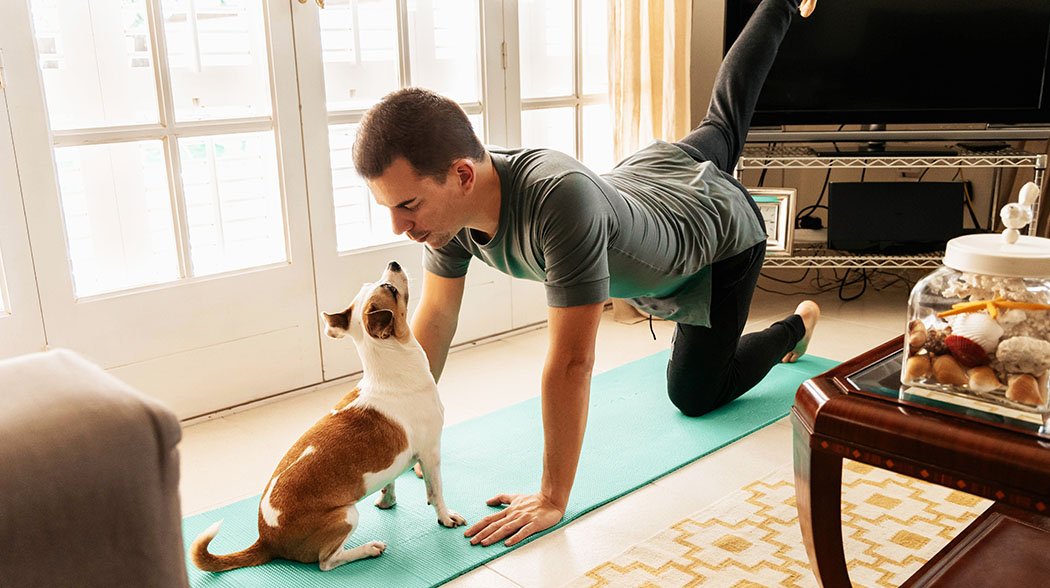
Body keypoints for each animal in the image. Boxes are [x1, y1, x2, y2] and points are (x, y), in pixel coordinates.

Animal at [190, 262, 468, 575]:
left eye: (372, 284)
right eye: (391, 289)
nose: (393, 264)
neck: (389, 369)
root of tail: (266, 540)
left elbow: (391, 481)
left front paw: (387, 501)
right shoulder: (431, 453)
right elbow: (436, 492)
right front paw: (446, 517)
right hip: (346, 515)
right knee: (327, 562)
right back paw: (367, 549)